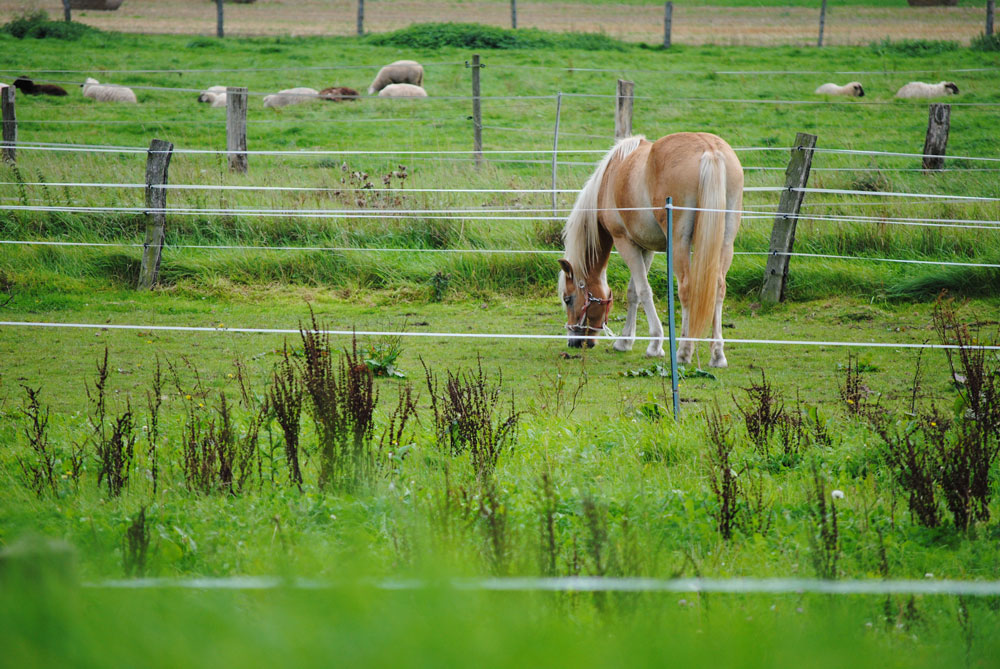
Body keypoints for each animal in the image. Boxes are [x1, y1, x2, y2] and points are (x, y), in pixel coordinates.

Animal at [560, 133, 748, 368]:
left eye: (568, 299)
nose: (574, 342)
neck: (610, 176)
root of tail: (710, 150)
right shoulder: (645, 247)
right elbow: (633, 292)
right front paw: (624, 341)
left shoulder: (625, 242)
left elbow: (643, 291)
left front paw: (655, 344)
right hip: (725, 241)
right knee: (718, 288)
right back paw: (717, 354)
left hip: (679, 244)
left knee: (686, 289)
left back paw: (684, 351)